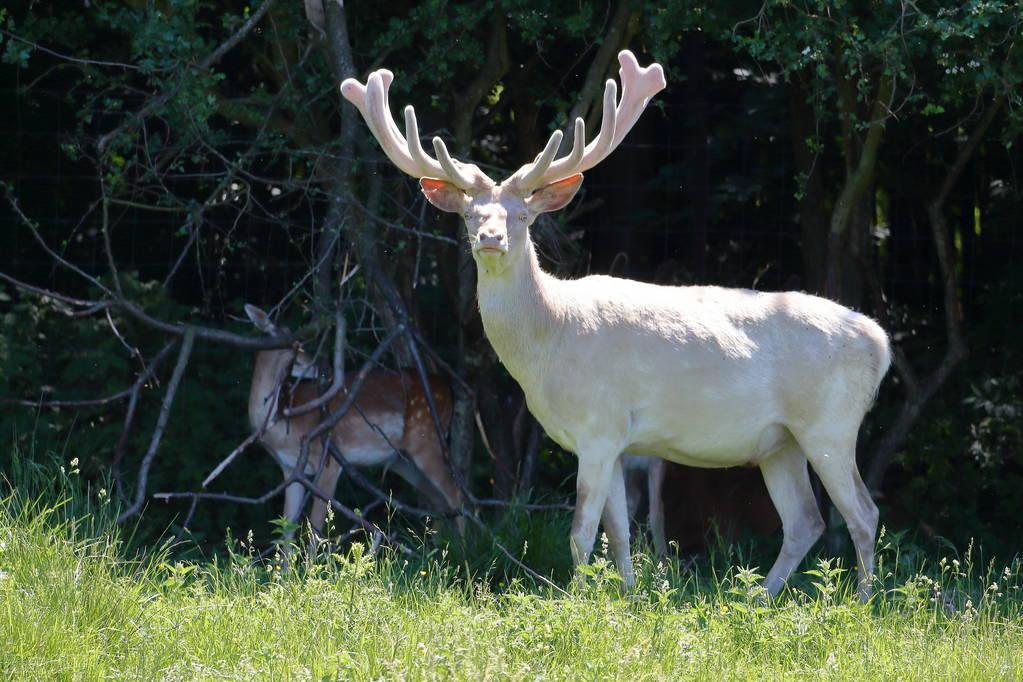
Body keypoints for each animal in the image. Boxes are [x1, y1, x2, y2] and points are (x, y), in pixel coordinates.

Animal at [341, 50, 887, 601]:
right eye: (471, 215)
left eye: (522, 216)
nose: (491, 239)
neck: (548, 342)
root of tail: (879, 342)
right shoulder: (619, 441)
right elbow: (620, 533)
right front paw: (626, 596)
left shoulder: (598, 425)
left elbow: (582, 531)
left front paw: (577, 600)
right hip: (780, 441)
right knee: (805, 521)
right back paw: (758, 598)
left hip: (830, 423)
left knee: (863, 513)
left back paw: (860, 603)